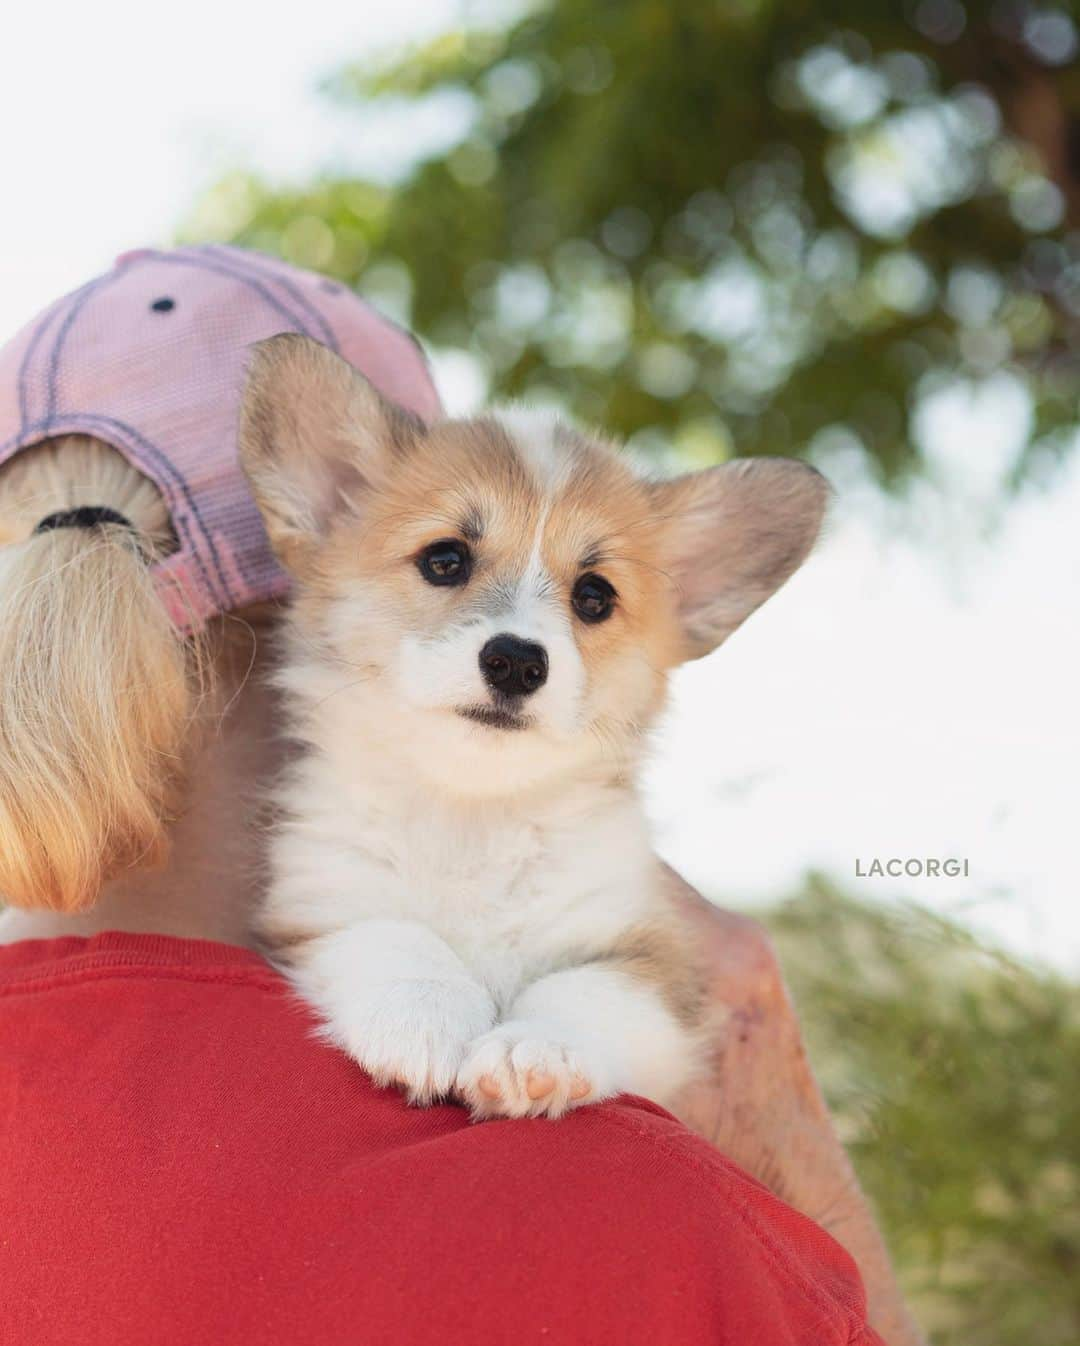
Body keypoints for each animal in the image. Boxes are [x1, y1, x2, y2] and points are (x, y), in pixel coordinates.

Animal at [238, 331, 824, 1119]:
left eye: (595, 596)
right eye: (444, 559)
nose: (516, 662)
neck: (474, 818)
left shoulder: (650, 957)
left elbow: (583, 991)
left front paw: (534, 1050)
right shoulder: (317, 903)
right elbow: (395, 934)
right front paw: (423, 1016)